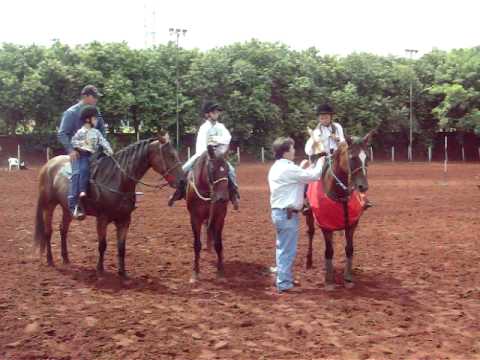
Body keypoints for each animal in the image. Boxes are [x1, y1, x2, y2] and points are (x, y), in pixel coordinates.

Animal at [33, 134, 184, 278]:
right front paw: (100, 269)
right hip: (49, 205)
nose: (182, 181)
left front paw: (122, 273)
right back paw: (50, 260)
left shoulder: (125, 220)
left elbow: (121, 247)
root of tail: (49, 164)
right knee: (48, 231)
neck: (118, 180)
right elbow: (102, 245)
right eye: (170, 155)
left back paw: (66, 259)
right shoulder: (102, 219)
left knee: (63, 230)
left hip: (67, 208)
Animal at [187, 145, 230, 282]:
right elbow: (196, 245)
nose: (222, 198)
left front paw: (220, 271)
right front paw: (195, 273)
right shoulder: (195, 218)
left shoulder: (220, 216)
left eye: (227, 169)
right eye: (212, 169)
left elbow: (218, 244)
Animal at [306, 133, 374, 290]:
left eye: (367, 157)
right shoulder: (326, 226)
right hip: (309, 216)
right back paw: (309, 261)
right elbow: (329, 251)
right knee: (310, 233)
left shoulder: (352, 224)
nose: (363, 186)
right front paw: (329, 280)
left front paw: (348, 277)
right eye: (352, 157)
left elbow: (349, 248)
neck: (340, 195)